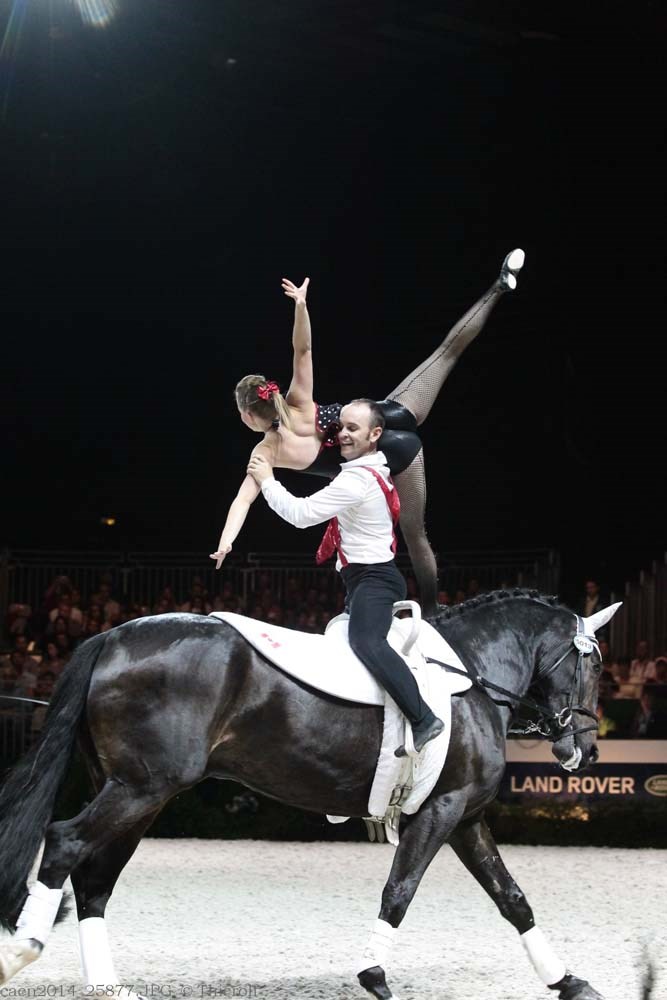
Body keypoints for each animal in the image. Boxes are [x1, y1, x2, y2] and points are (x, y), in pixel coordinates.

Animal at [0, 588, 620, 996]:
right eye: (593, 665)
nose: (586, 752)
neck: (468, 678)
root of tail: (112, 636)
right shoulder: (439, 811)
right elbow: (400, 891)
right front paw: (374, 976)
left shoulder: (465, 816)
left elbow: (512, 898)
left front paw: (568, 980)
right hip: (140, 788)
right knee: (64, 844)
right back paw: (23, 950)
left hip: (139, 795)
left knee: (94, 879)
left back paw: (104, 984)